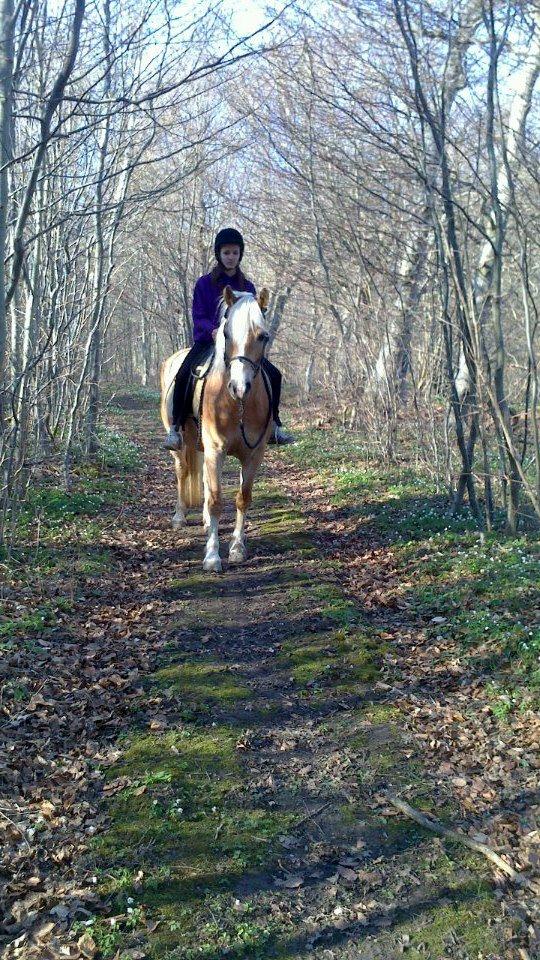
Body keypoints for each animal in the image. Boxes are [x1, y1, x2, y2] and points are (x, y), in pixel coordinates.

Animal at [158, 284, 272, 568]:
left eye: (263, 336)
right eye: (227, 333)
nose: (239, 387)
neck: (236, 406)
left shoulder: (254, 454)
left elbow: (242, 498)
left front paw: (237, 548)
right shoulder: (216, 450)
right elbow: (216, 500)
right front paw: (211, 556)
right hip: (182, 443)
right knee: (182, 471)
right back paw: (179, 517)